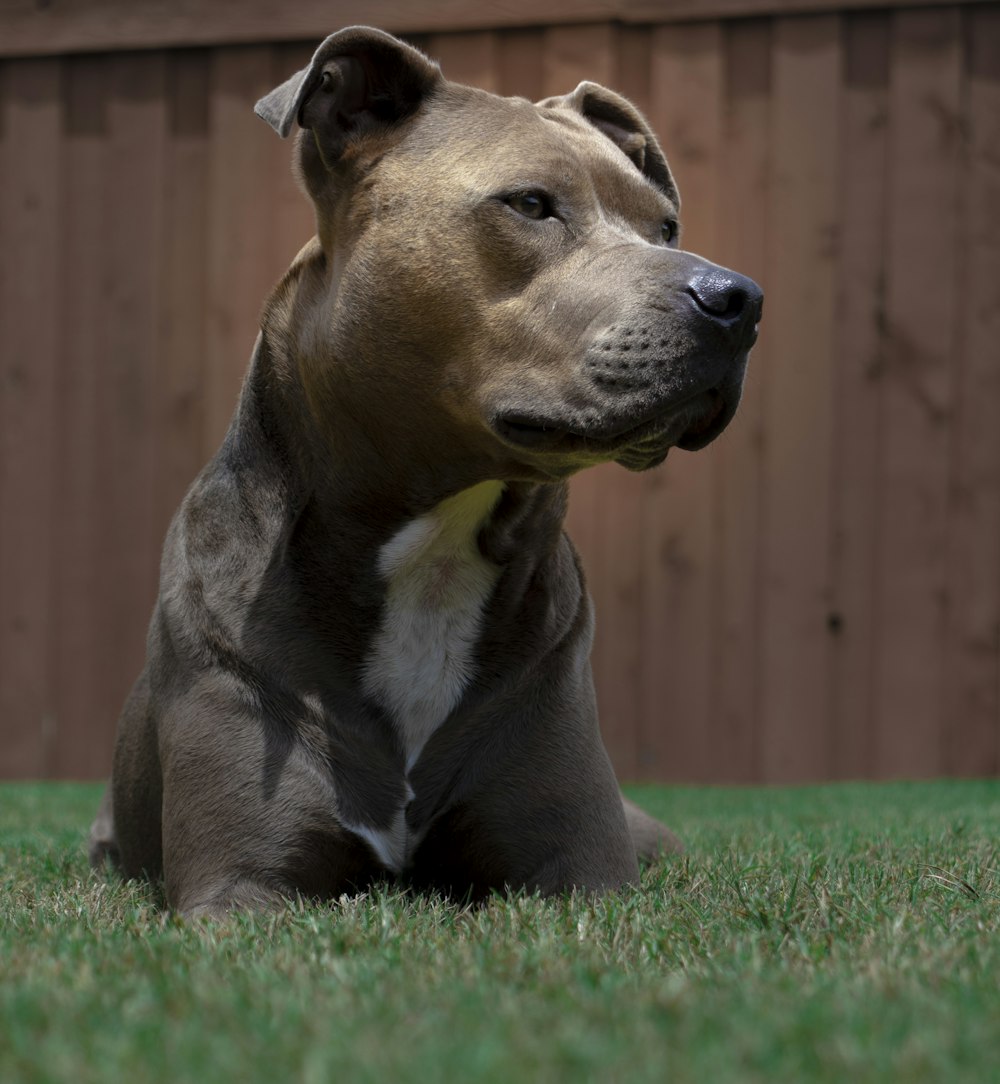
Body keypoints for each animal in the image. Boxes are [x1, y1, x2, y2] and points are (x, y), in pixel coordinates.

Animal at [87, 25, 758, 914]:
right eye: (531, 204)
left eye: (668, 227)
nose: (740, 300)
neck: (436, 551)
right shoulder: (238, 886)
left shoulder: (586, 874)